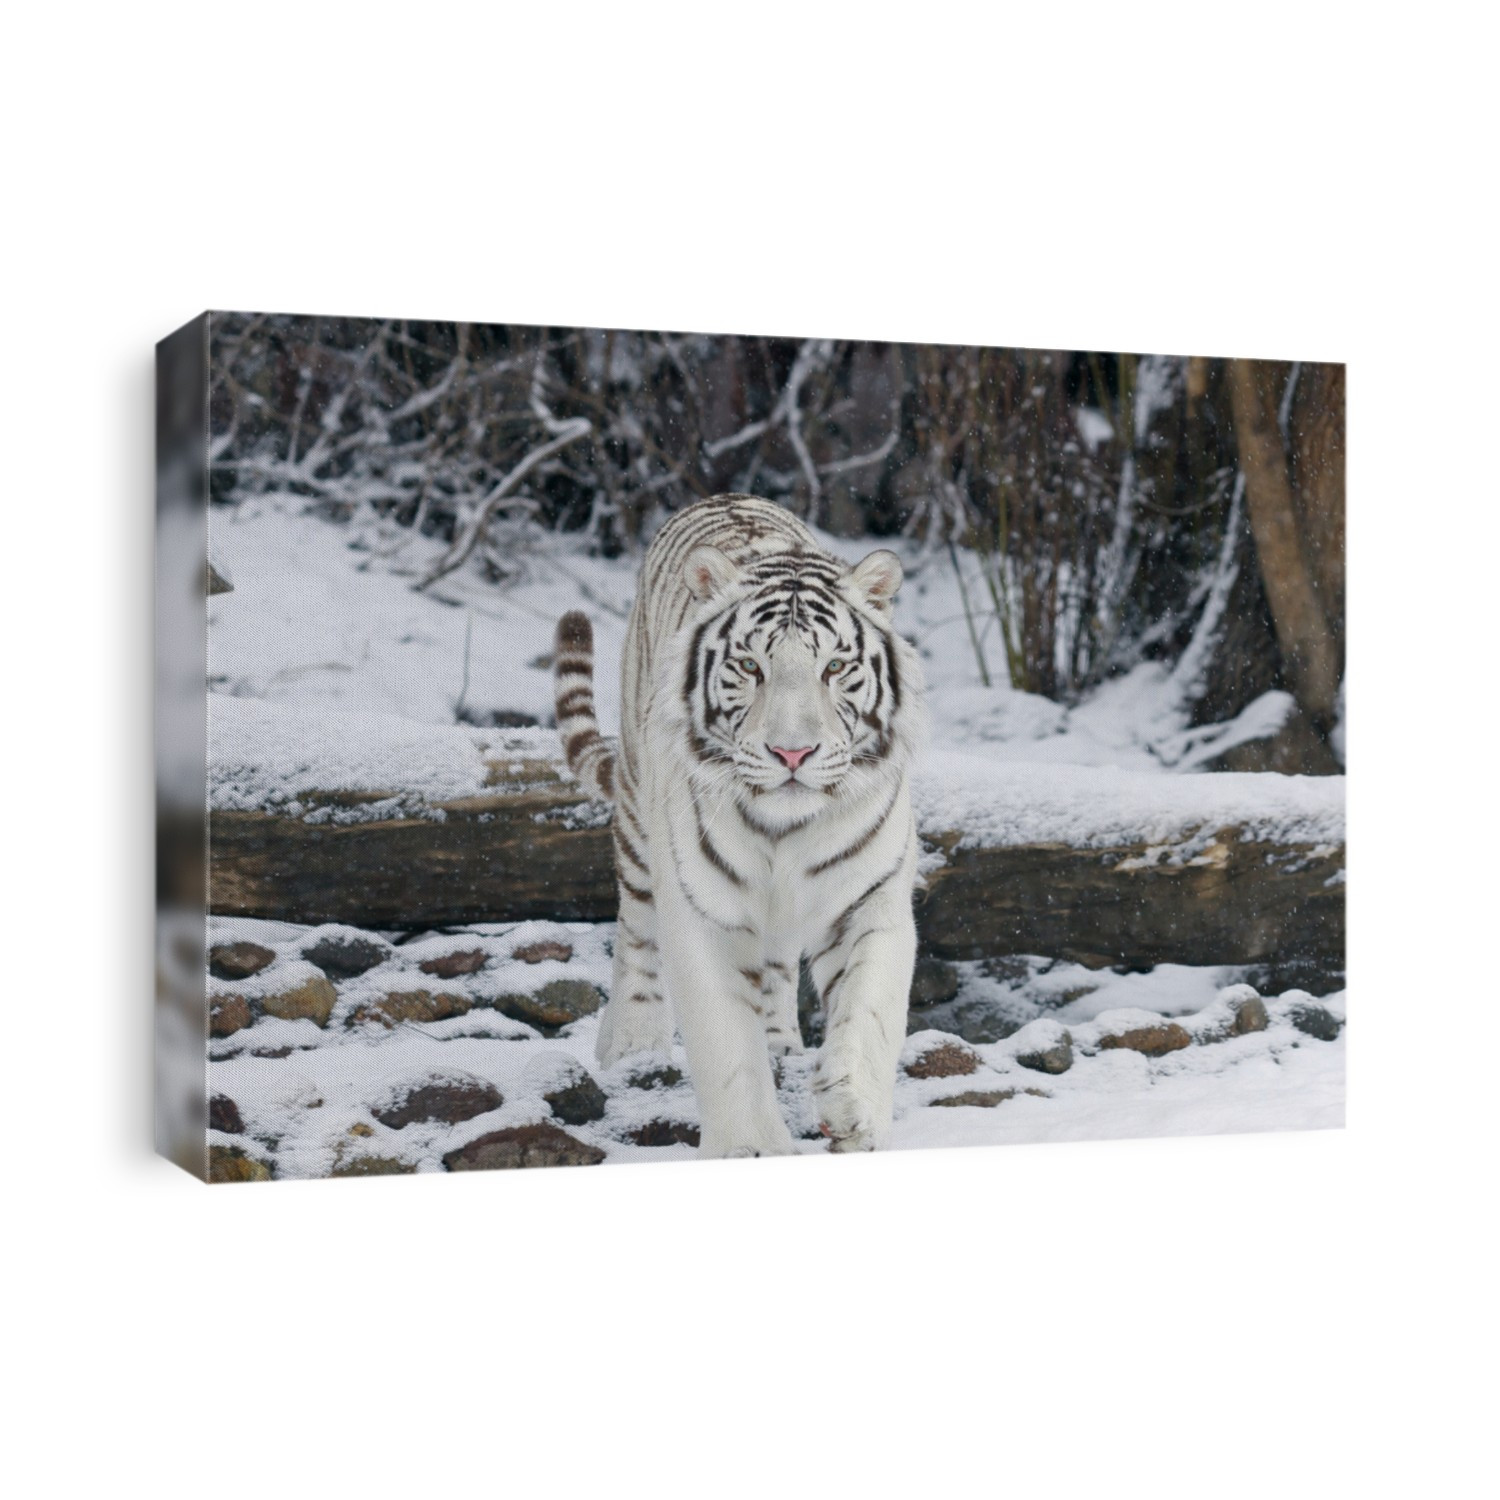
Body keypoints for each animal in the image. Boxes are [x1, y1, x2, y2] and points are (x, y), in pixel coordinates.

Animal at [553, 493, 926, 1157]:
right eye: (750, 665)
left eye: (835, 666)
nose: (792, 753)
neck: (785, 833)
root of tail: (725, 496)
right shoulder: (704, 909)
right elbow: (725, 1039)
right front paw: (749, 1148)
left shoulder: (868, 897)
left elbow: (870, 1011)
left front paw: (851, 1108)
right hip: (639, 822)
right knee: (636, 930)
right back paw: (632, 1044)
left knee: (775, 965)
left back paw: (782, 1044)